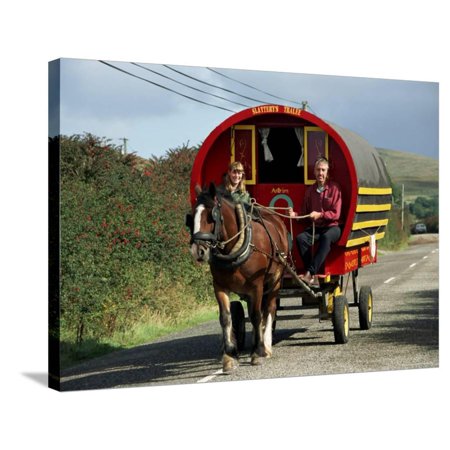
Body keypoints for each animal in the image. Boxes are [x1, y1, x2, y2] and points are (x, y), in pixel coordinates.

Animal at [188, 183, 290, 372]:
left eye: (211, 215)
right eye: (192, 216)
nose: (198, 251)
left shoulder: (257, 285)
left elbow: (256, 316)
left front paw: (257, 353)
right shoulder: (220, 286)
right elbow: (225, 317)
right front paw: (229, 356)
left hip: (275, 280)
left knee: (269, 308)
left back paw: (266, 345)